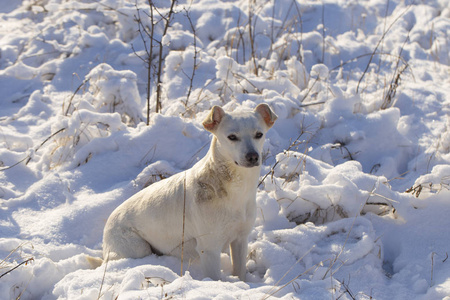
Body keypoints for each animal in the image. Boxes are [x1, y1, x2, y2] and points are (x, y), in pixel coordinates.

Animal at [99, 103, 278, 282]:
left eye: (259, 134)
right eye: (232, 137)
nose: (253, 156)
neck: (236, 189)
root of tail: (107, 225)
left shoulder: (240, 240)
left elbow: (240, 271)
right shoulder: (209, 248)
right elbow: (214, 278)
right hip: (137, 248)